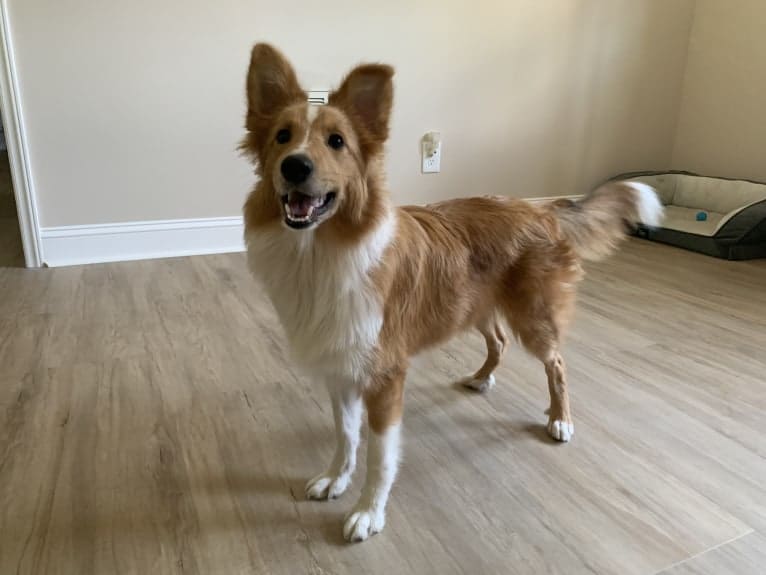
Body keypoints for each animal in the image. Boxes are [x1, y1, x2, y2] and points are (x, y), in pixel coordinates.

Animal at [242, 42, 664, 544]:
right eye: (282, 137)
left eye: (337, 142)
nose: (295, 166)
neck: (321, 250)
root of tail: (541, 209)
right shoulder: (341, 368)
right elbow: (346, 436)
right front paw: (335, 478)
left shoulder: (385, 376)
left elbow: (380, 456)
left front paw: (368, 512)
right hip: (474, 306)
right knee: (498, 343)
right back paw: (481, 378)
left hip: (532, 318)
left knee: (557, 364)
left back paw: (560, 419)